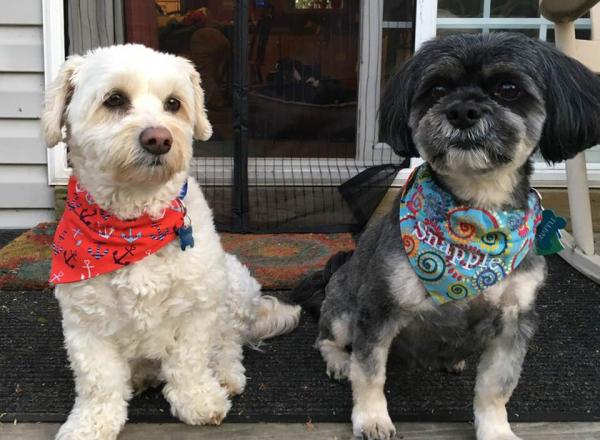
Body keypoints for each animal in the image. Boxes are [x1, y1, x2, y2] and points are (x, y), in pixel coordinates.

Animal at [42, 45, 300, 440]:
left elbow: (190, 361)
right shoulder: (85, 323)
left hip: (233, 283)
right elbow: (99, 380)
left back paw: (225, 374)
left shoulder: (197, 308)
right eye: (114, 99)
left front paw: (198, 401)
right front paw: (90, 423)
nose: (159, 139)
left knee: (228, 342)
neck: (133, 225)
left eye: (174, 103)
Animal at [292, 31, 600, 440]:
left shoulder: (514, 320)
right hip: (343, 308)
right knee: (328, 338)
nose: (462, 111)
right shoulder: (378, 307)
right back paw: (340, 361)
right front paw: (372, 417)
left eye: (508, 89)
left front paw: (495, 429)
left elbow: (496, 388)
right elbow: (370, 372)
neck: (474, 219)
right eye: (437, 88)